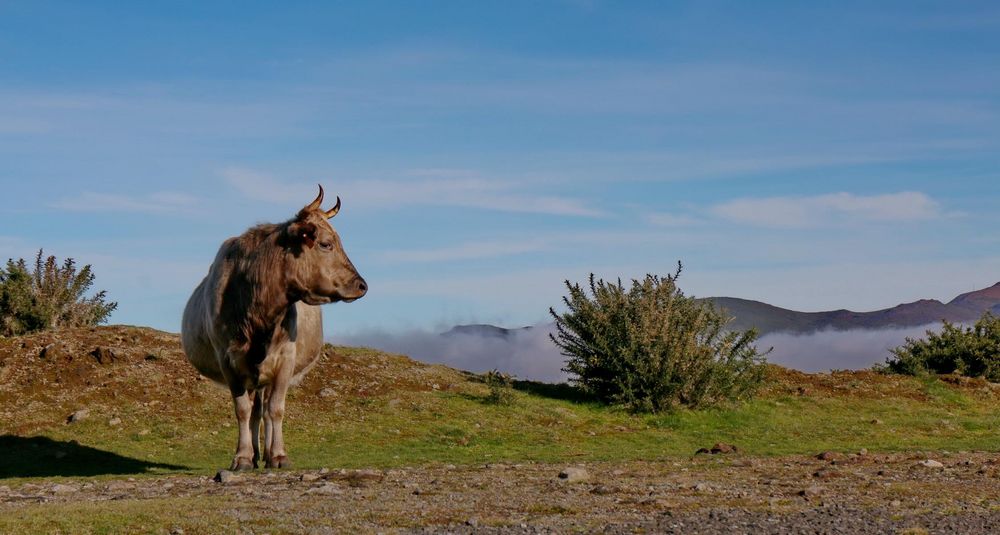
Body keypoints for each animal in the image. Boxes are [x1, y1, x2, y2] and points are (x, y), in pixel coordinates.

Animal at [181, 186, 368, 472]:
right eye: (326, 243)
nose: (361, 285)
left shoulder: (285, 360)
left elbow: (276, 409)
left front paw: (279, 455)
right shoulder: (228, 360)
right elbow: (242, 411)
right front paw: (242, 457)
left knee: (266, 410)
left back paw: (268, 454)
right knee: (255, 411)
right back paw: (256, 454)